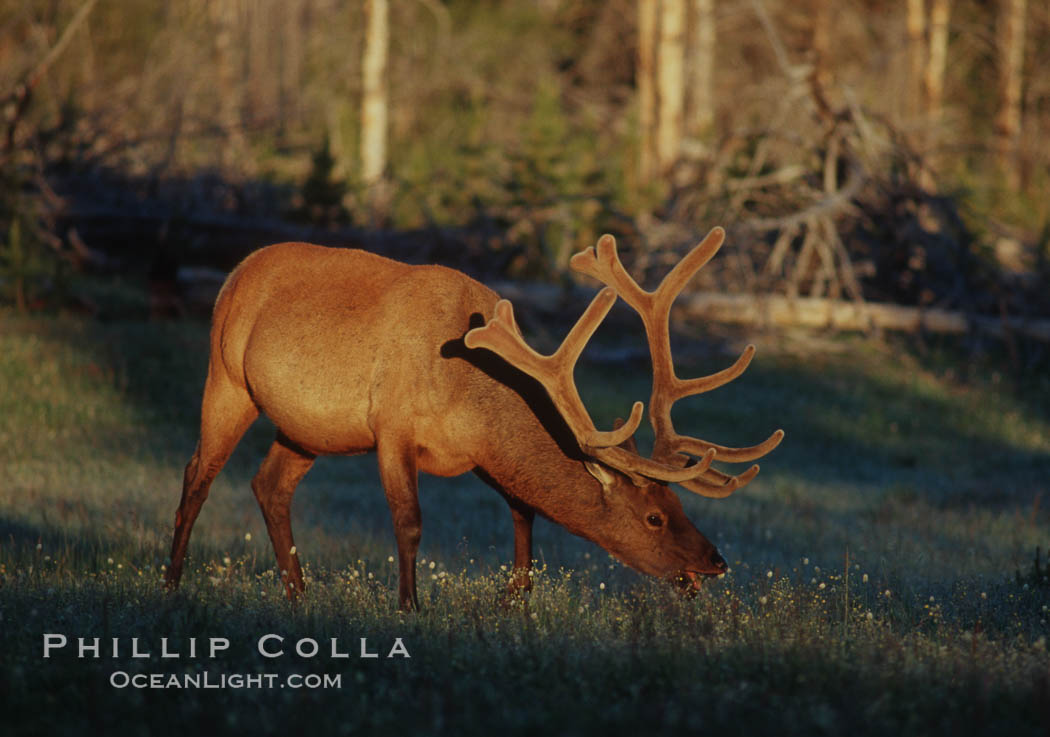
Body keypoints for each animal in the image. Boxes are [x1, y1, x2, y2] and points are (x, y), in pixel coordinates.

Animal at [165, 227, 781, 608]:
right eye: (653, 517)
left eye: (679, 504)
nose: (715, 561)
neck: (471, 392)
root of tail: (238, 268)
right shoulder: (393, 426)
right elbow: (409, 520)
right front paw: (410, 606)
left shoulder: (479, 454)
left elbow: (525, 512)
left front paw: (515, 599)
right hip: (227, 378)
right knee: (197, 474)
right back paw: (172, 582)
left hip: (307, 428)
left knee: (269, 484)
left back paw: (298, 594)